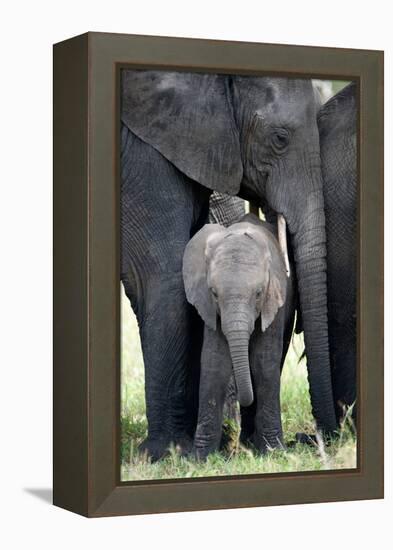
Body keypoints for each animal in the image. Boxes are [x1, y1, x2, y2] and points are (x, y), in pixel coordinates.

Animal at [182, 213, 292, 460]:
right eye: (214, 293)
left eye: (258, 293)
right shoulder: (210, 308)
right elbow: (215, 362)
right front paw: (199, 459)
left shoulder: (274, 299)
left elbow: (264, 363)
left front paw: (274, 452)